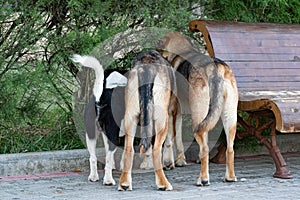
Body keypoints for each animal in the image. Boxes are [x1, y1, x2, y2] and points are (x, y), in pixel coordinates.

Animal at [158, 31, 238, 186]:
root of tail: (215, 67)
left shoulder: (171, 110)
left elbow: (170, 139)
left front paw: (169, 163)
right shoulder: (181, 113)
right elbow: (179, 138)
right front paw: (180, 161)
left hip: (197, 118)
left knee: (205, 149)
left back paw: (203, 179)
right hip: (228, 118)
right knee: (230, 149)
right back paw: (230, 177)